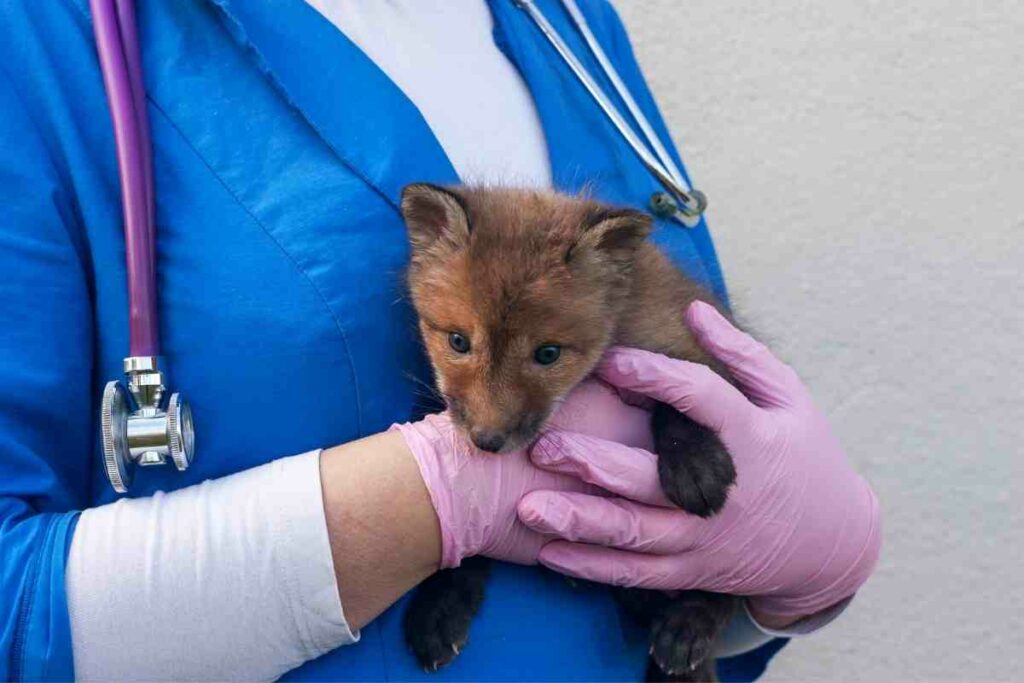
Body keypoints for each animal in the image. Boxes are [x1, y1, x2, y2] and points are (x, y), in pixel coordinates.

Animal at [399, 183, 740, 682]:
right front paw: (442, 603)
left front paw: (696, 467)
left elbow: (683, 399)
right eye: (458, 342)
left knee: (724, 589)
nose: (487, 441)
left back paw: (686, 628)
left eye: (548, 354)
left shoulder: (689, 348)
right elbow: (466, 536)